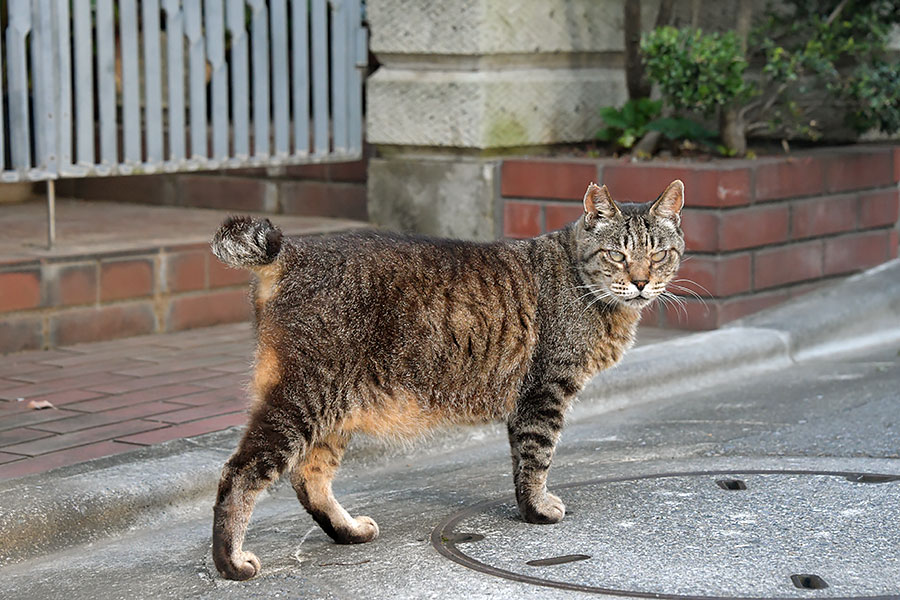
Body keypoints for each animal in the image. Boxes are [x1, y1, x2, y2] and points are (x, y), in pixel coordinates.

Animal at [211, 179, 684, 580]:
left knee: (308, 477)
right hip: (304, 399)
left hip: (335, 410)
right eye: (616, 255)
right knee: (239, 473)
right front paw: (537, 510)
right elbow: (537, 458)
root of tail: (294, 250)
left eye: (659, 255)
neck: (577, 279)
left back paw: (349, 531)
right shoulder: (544, 393)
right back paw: (230, 561)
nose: (641, 282)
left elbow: (525, 461)